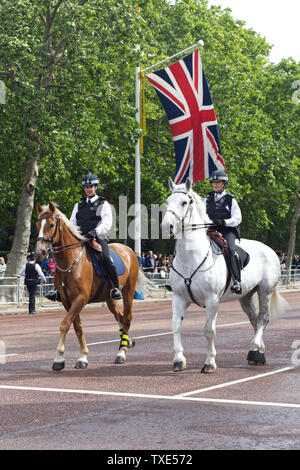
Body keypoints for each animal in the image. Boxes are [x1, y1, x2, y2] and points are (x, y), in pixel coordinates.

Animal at [35, 202, 143, 370]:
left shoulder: (80, 299)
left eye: (51, 225)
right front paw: (83, 357)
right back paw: (127, 341)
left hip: (128, 292)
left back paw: (121, 353)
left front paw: (59, 358)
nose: (39, 252)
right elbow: (77, 327)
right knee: (119, 316)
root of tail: (129, 250)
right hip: (110, 298)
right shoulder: (67, 301)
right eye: (37, 225)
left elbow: (64, 324)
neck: (71, 261)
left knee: (127, 318)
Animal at [162, 177, 288, 374]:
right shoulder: (179, 298)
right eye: (168, 201)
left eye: (184, 202)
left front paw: (209, 362)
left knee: (263, 319)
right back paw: (258, 353)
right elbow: (175, 326)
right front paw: (178, 360)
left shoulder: (212, 300)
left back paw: (255, 350)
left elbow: (209, 330)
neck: (191, 257)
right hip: (246, 296)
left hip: (265, 291)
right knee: (254, 319)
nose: (167, 226)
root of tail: (270, 250)